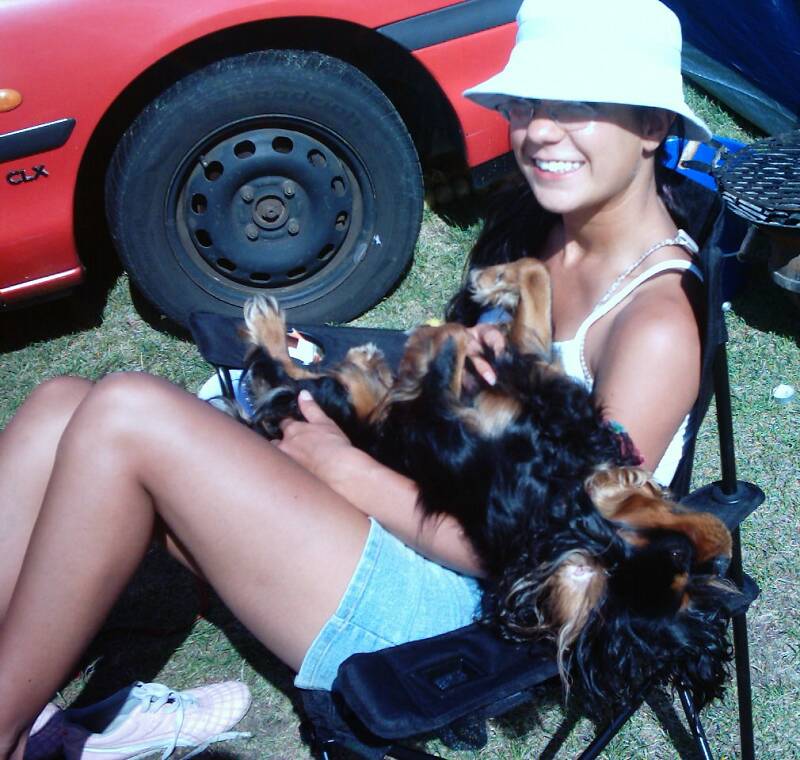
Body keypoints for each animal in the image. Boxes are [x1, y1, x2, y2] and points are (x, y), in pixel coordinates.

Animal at [227, 258, 739, 715]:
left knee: (293, 382)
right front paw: (492, 283)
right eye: (680, 558)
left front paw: (429, 339)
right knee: (302, 380)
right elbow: (534, 280)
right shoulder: (531, 374)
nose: (718, 557)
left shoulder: (439, 415)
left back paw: (282, 330)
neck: (554, 481)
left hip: (348, 412)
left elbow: (450, 343)